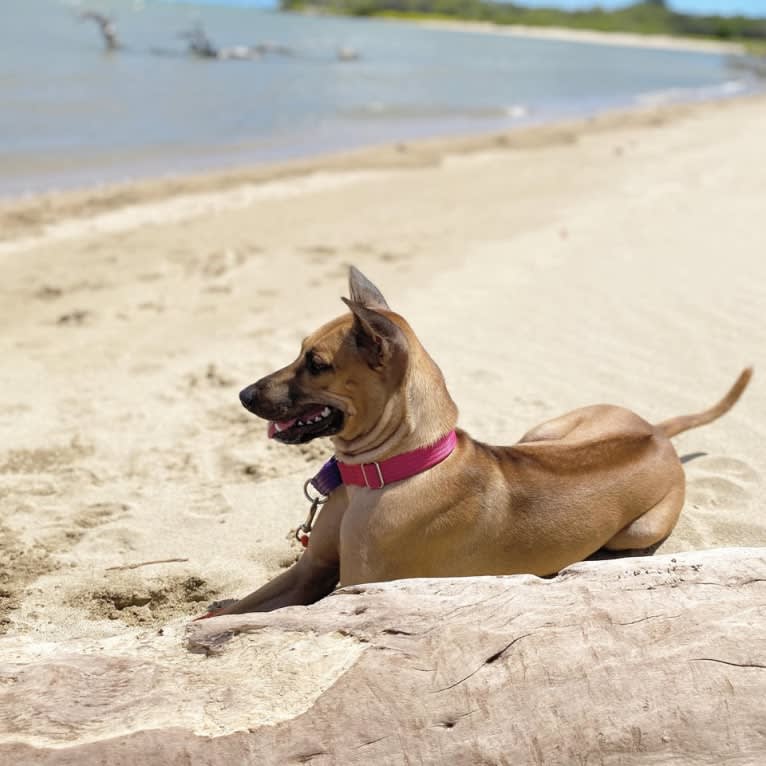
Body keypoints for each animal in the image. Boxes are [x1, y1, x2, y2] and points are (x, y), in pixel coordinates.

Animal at [207, 268, 752, 616]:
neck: (391, 470)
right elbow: (234, 612)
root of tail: (656, 432)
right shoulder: (309, 570)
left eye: (316, 364)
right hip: (544, 431)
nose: (244, 394)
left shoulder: (354, 586)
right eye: (299, 351)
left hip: (639, 529)